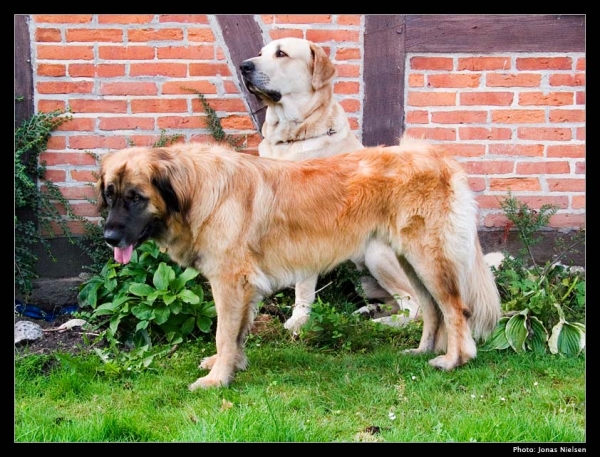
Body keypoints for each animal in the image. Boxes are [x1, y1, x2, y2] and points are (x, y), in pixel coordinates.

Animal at [98, 136, 502, 388]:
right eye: (110, 195)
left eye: (136, 197)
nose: (109, 238)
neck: (195, 190)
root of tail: (440, 157)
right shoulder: (243, 287)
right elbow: (236, 333)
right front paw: (229, 365)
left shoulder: (230, 281)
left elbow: (223, 333)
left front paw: (217, 379)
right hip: (409, 260)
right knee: (431, 308)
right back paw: (422, 351)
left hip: (425, 258)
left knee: (455, 309)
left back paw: (454, 360)